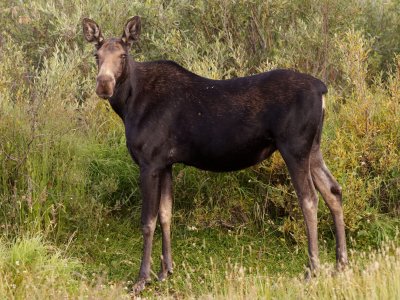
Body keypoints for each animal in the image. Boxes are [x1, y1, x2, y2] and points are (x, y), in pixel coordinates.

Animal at [82, 15, 346, 292]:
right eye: (96, 55)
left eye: (123, 55)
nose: (104, 85)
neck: (127, 106)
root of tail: (322, 89)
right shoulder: (166, 163)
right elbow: (166, 214)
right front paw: (166, 271)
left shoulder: (149, 162)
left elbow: (148, 221)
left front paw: (142, 279)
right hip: (313, 148)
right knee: (333, 190)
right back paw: (341, 264)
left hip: (294, 147)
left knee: (309, 199)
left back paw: (312, 269)